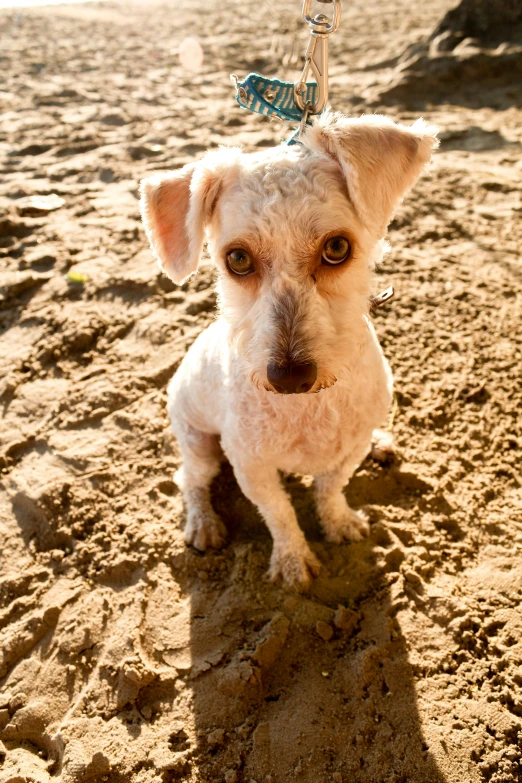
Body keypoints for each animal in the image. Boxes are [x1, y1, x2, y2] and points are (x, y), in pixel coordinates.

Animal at [140, 110, 436, 588]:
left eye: (338, 247)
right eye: (237, 259)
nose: (290, 377)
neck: (309, 409)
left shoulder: (348, 449)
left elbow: (330, 488)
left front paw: (339, 523)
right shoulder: (251, 466)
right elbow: (279, 514)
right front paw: (293, 562)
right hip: (199, 443)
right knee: (189, 479)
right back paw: (203, 523)